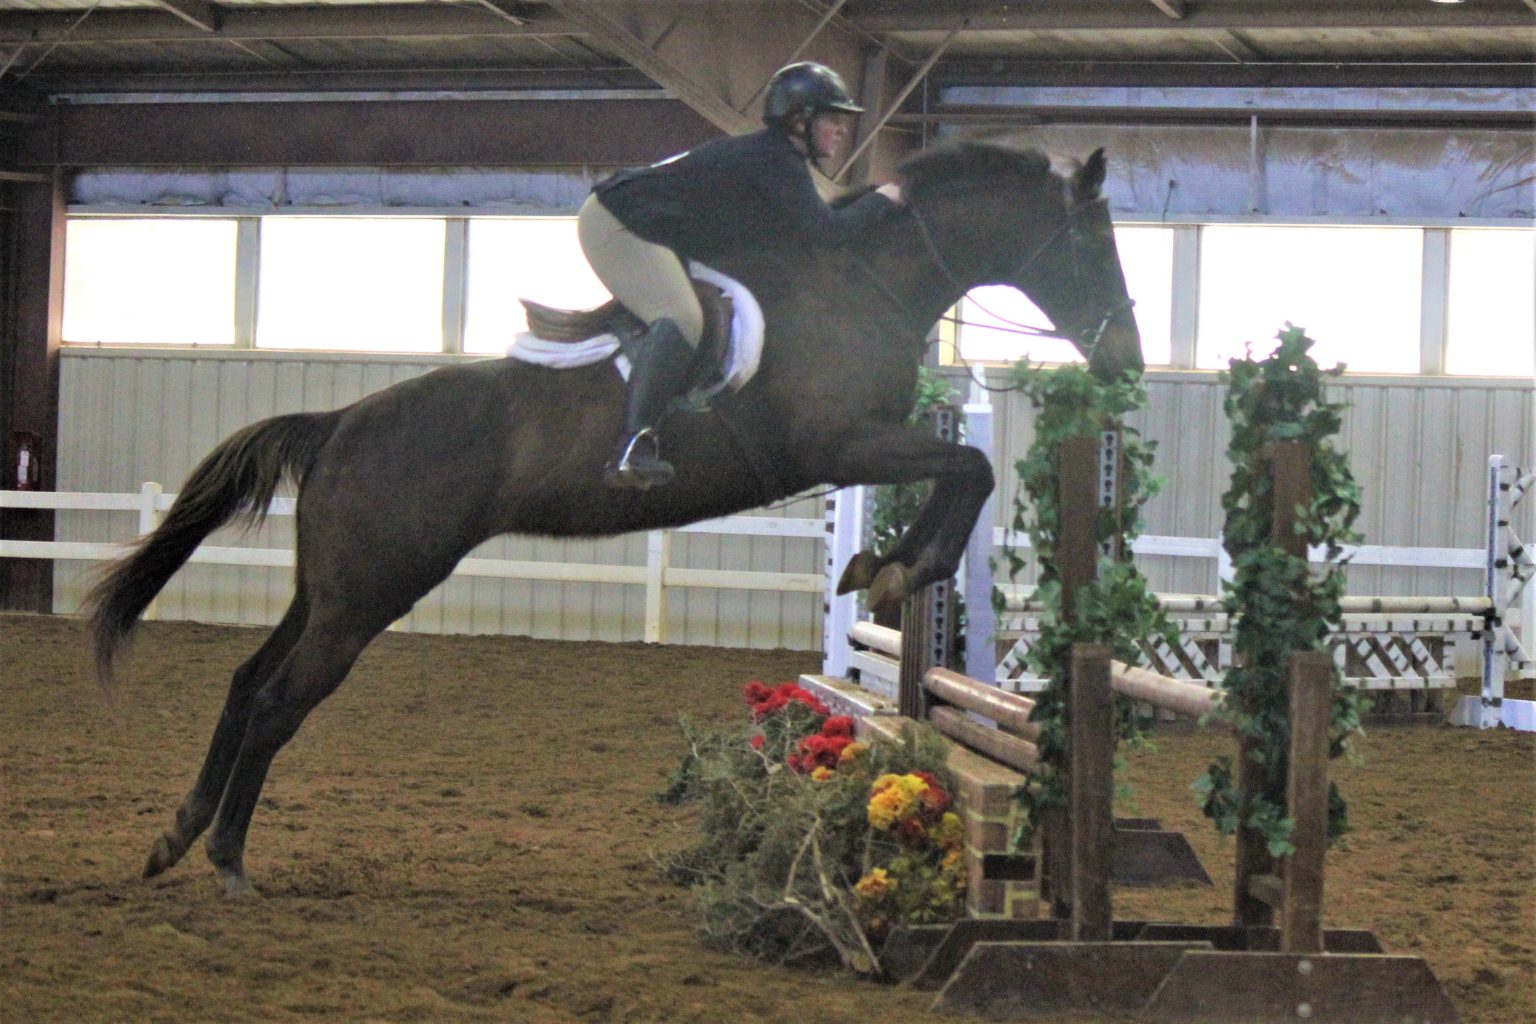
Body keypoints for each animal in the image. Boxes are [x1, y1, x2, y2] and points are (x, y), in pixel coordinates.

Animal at [84, 138, 1142, 896]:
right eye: (1093, 243)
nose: (1126, 360)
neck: (865, 282)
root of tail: (341, 421)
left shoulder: (866, 445)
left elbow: (961, 474)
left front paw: (878, 566)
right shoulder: (843, 445)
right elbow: (969, 467)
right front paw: (897, 568)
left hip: (334, 588)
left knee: (246, 681)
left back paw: (176, 834)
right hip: (370, 594)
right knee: (276, 701)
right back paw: (226, 860)